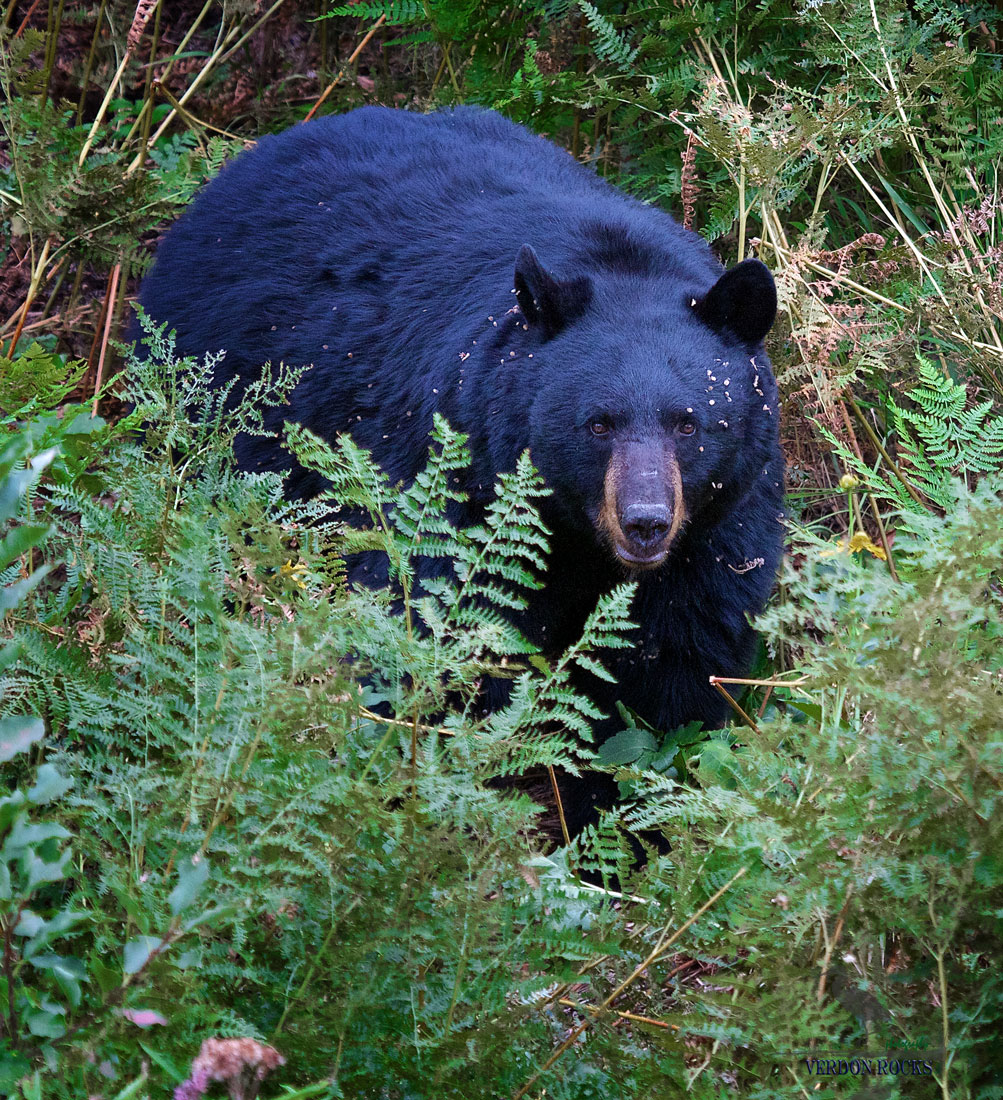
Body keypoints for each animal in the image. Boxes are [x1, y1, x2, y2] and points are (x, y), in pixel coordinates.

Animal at [136, 106, 784, 837]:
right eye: (597, 423)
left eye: (688, 423)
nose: (645, 522)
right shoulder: (455, 482)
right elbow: (434, 640)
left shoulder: (714, 537)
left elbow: (671, 680)